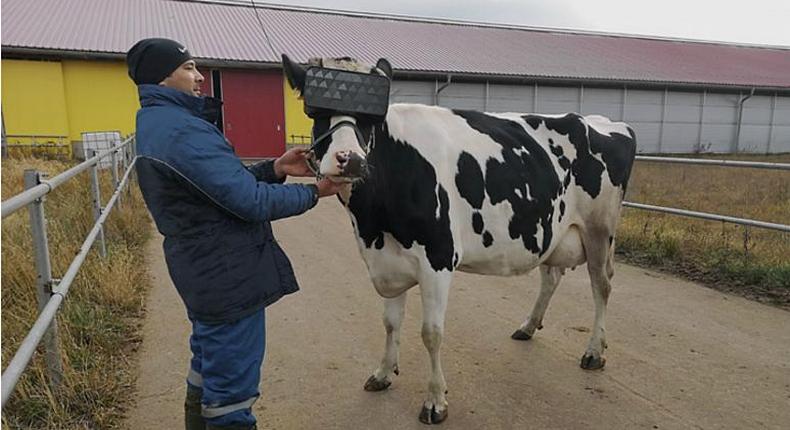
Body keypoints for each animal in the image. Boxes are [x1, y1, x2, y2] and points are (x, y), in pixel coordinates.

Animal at [282, 54, 640, 424]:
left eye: (372, 118)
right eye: (315, 112)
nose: (349, 159)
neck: (373, 224)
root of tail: (604, 121)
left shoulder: (438, 258)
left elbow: (431, 333)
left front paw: (435, 401)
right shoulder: (387, 261)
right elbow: (390, 323)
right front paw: (382, 373)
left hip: (600, 229)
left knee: (601, 285)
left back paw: (594, 352)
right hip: (551, 229)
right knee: (551, 276)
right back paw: (528, 326)